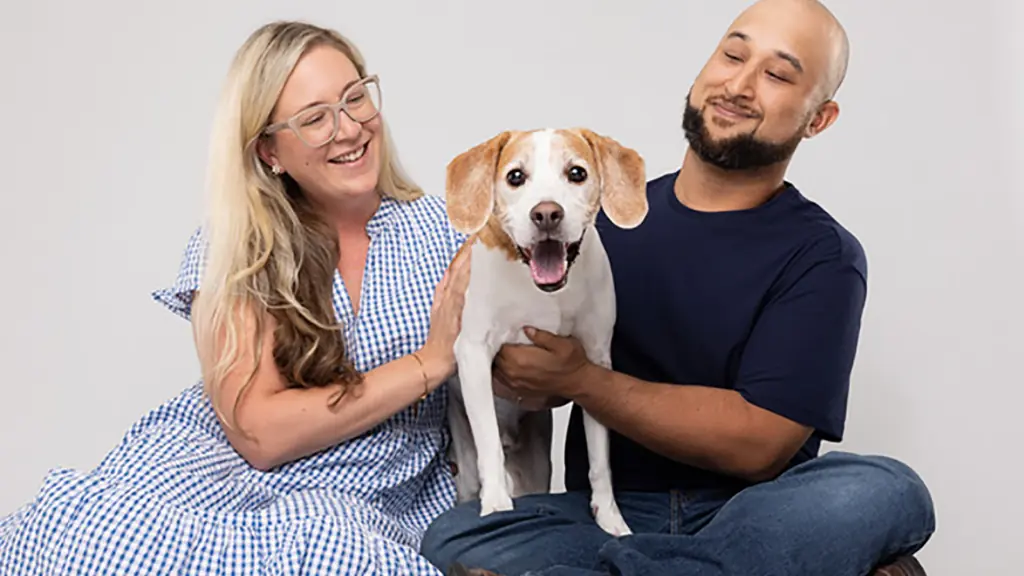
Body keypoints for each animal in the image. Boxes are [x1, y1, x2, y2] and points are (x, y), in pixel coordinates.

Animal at [442, 125, 647, 532]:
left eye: (577, 173)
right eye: (515, 177)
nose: (547, 213)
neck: (542, 290)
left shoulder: (595, 362)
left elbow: (600, 460)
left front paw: (609, 517)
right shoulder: (473, 354)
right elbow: (489, 444)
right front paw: (497, 507)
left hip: (537, 465)